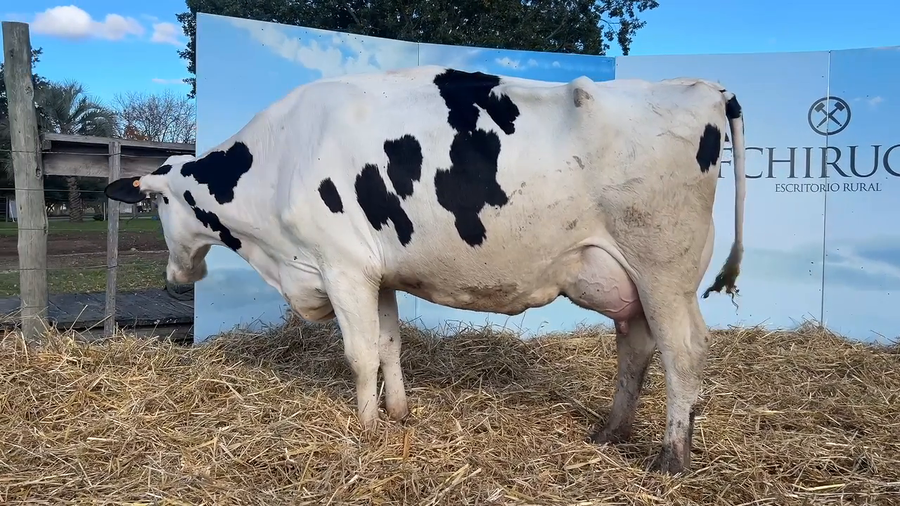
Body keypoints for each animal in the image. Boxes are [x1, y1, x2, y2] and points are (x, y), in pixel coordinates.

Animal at [104, 65, 746, 475]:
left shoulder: (342, 267)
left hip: (664, 268)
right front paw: (397, 415)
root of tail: (704, 88)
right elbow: (389, 344)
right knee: (635, 347)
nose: (176, 279)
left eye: (159, 203)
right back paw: (612, 432)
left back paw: (671, 459)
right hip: (628, 279)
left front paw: (364, 429)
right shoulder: (379, 273)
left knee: (684, 351)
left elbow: (360, 353)